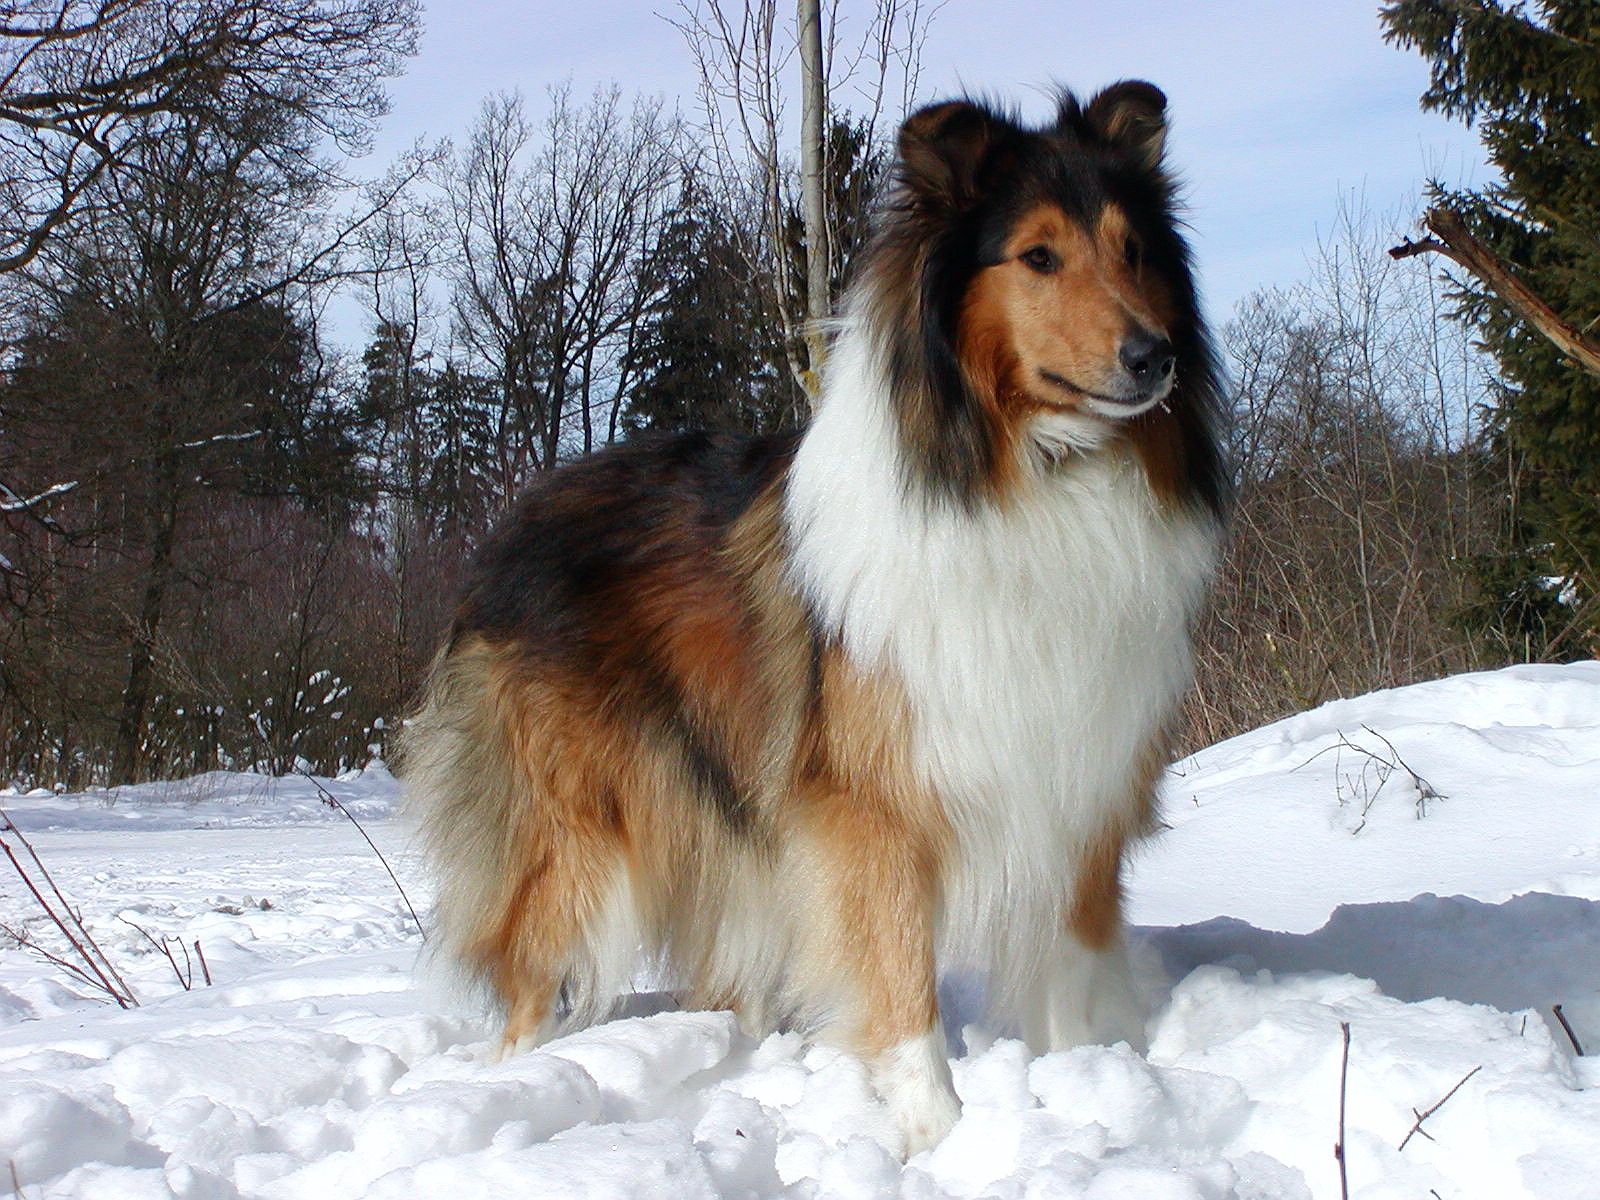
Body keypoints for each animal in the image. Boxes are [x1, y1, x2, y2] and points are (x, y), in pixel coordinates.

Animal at [403, 82, 1222, 1158]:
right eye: (1038, 256)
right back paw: (513, 1082)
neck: (1024, 477)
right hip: (578, 829)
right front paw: (937, 1130)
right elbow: (900, 971)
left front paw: (1086, 1087)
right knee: (533, 968)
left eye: (1133, 251)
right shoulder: (872, 804)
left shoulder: (1076, 781)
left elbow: (1072, 967)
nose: (1151, 356)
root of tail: (508, 525)